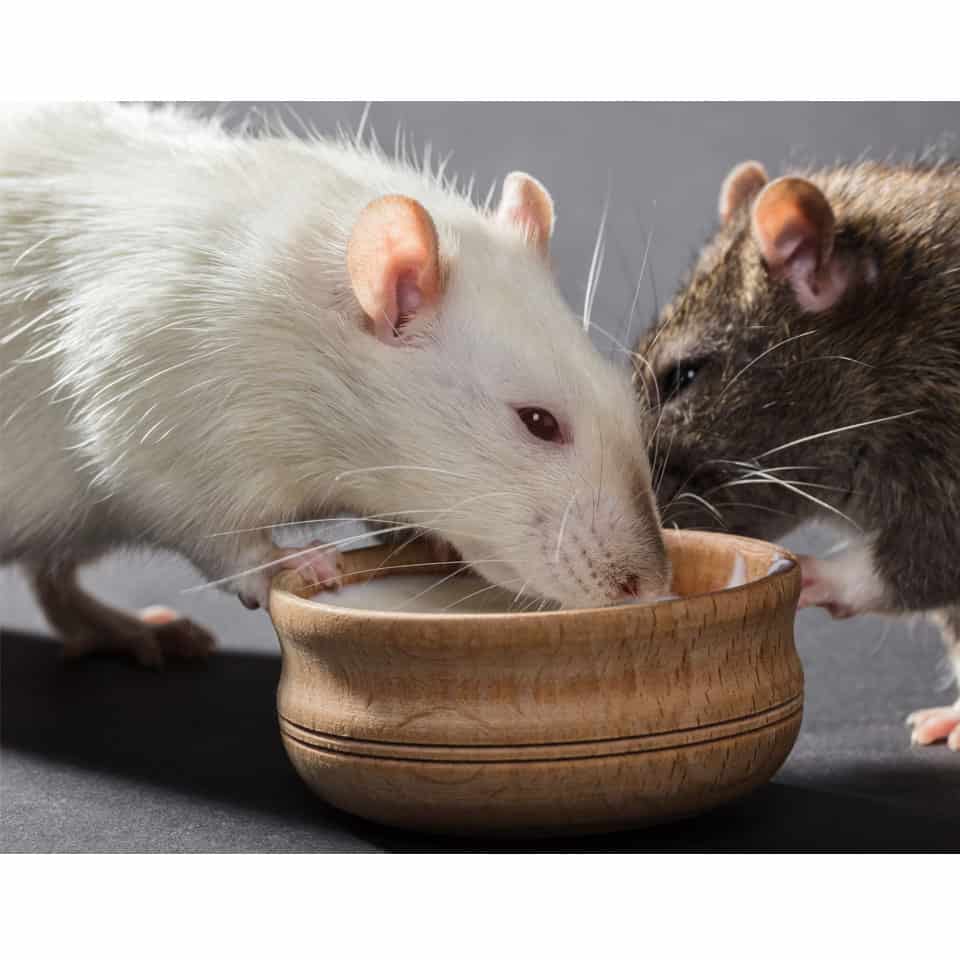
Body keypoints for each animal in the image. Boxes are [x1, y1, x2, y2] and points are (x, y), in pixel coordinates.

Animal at [0, 103, 668, 666]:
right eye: (538, 422)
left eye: (625, 402)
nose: (651, 585)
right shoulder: (162, 371)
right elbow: (161, 488)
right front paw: (276, 560)